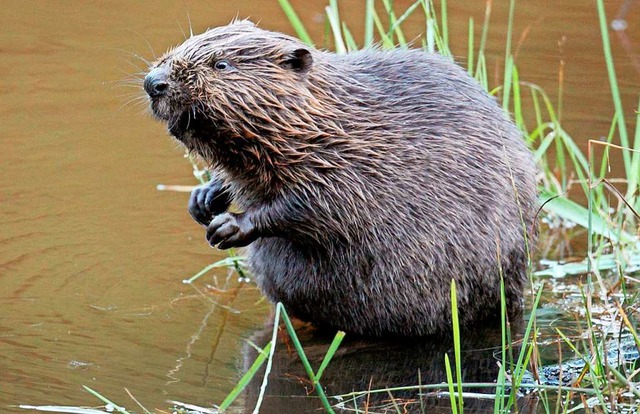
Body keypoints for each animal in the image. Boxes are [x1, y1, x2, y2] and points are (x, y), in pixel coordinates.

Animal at [142, 19, 536, 338]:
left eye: (222, 64)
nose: (153, 82)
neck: (326, 119)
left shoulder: (349, 164)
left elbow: (318, 207)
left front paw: (228, 226)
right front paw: (203, 199)